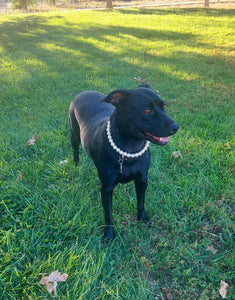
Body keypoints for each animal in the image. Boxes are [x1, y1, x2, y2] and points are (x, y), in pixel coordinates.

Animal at [69, 85, 179, 240]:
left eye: (164, 107)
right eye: (147, 111)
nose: (175, 127)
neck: (130, 149)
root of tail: (85, 92)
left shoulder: (142, 180)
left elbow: (141, 202)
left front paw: (142, 219)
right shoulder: (106, 188)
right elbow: (108, 214)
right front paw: (109, 235)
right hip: (74, 134)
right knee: (75, 150)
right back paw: (76, 165)